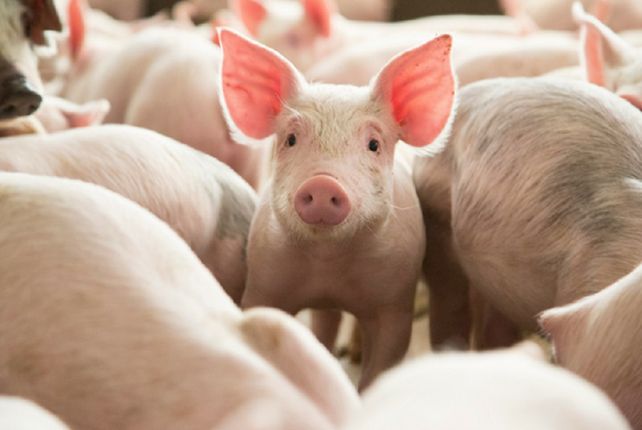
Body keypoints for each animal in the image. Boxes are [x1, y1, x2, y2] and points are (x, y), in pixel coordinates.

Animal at [217, 29, 457, 389]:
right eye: (290, 139)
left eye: (373, 144)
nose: (322, 184)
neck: (329, 261)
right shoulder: (264, 284)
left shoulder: (395, 303)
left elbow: (382, 363)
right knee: (325, 321)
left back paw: (352, 353)